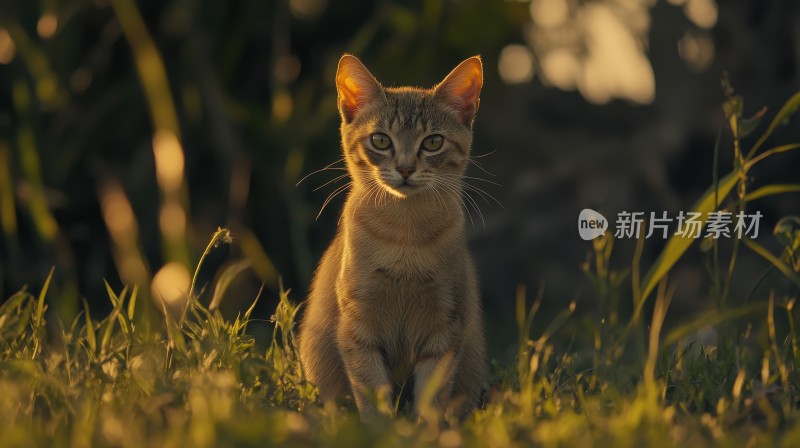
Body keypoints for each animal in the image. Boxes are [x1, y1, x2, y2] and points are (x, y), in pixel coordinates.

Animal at [298, 55, 488, 420]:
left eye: (433, 142)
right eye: (381, 141)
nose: (405, 168)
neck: (404, 239)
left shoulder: (444, 329)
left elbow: (431, 397)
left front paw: (423, 428)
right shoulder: (358, 328)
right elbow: (371, 392)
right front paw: (381, 428)